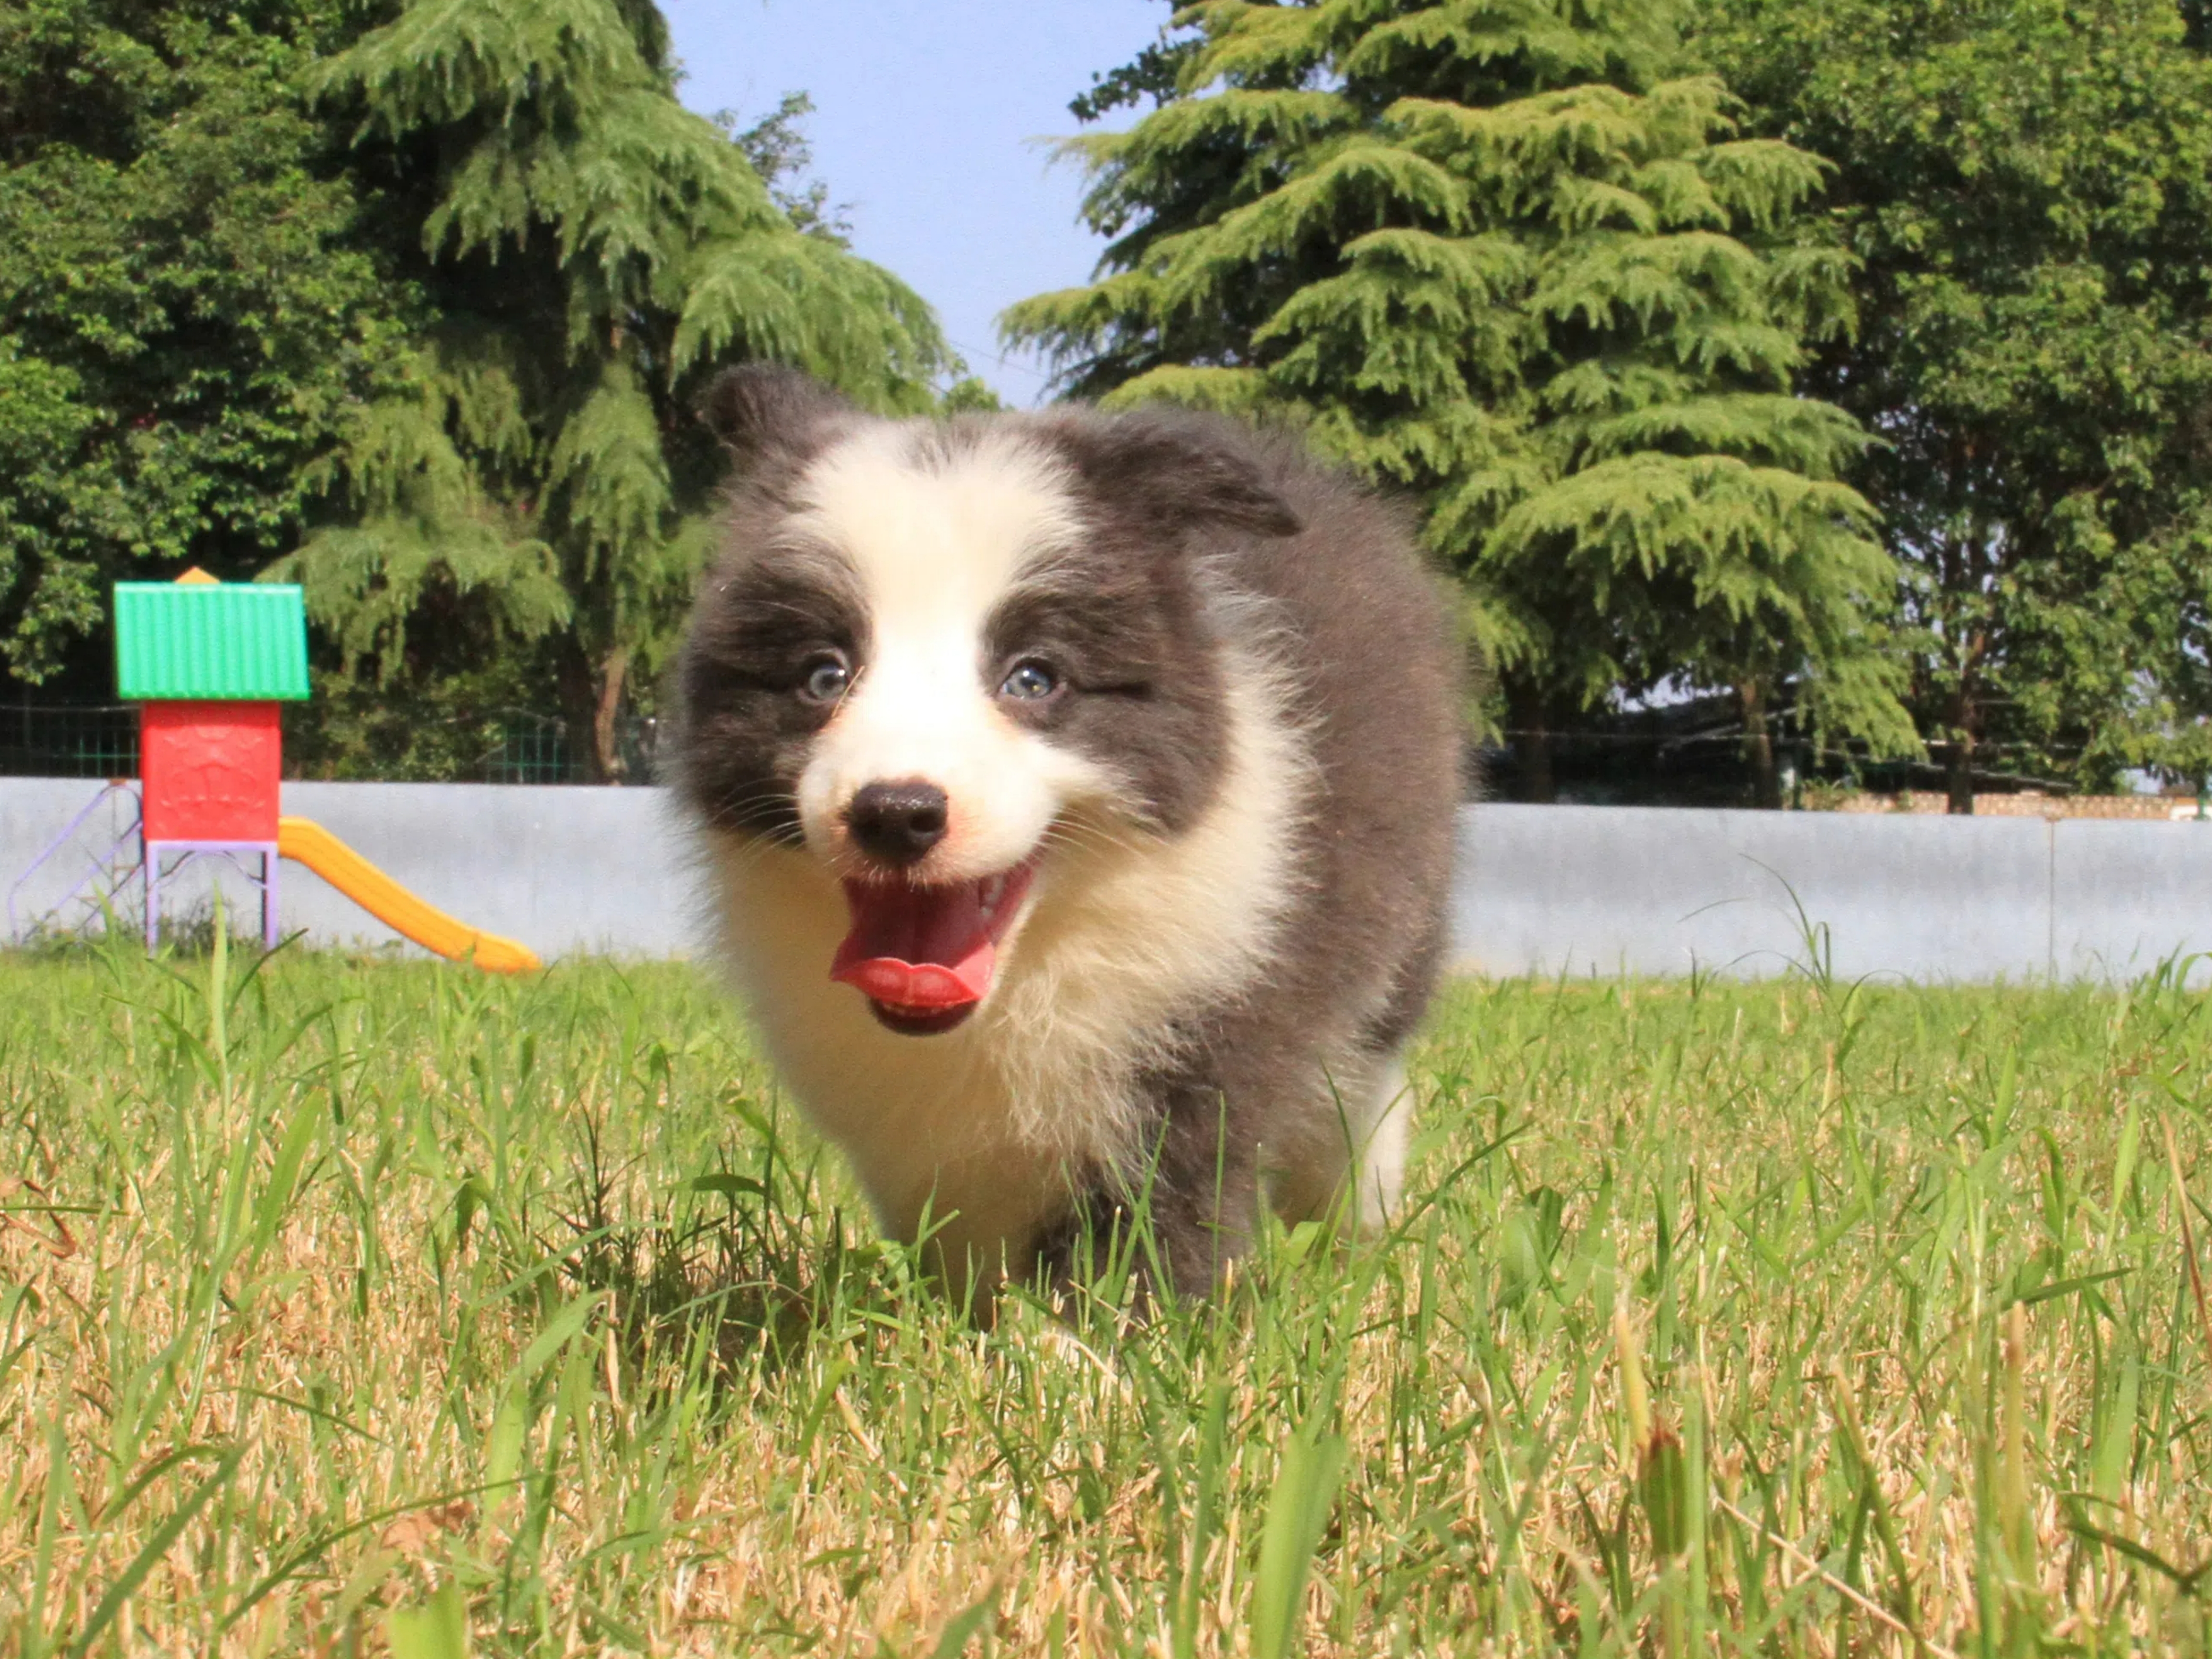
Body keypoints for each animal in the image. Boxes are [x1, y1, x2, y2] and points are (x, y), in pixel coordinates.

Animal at [672, 367, 1468, 1309]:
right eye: (823, 675)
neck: (1030, 973)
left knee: (1361, 1090)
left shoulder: (1202, 1021)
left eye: (1033, 679)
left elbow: (1160, 1207)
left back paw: (1352, 1237)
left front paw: (1117, 1332)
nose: (895, 812)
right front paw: (963, 1324)